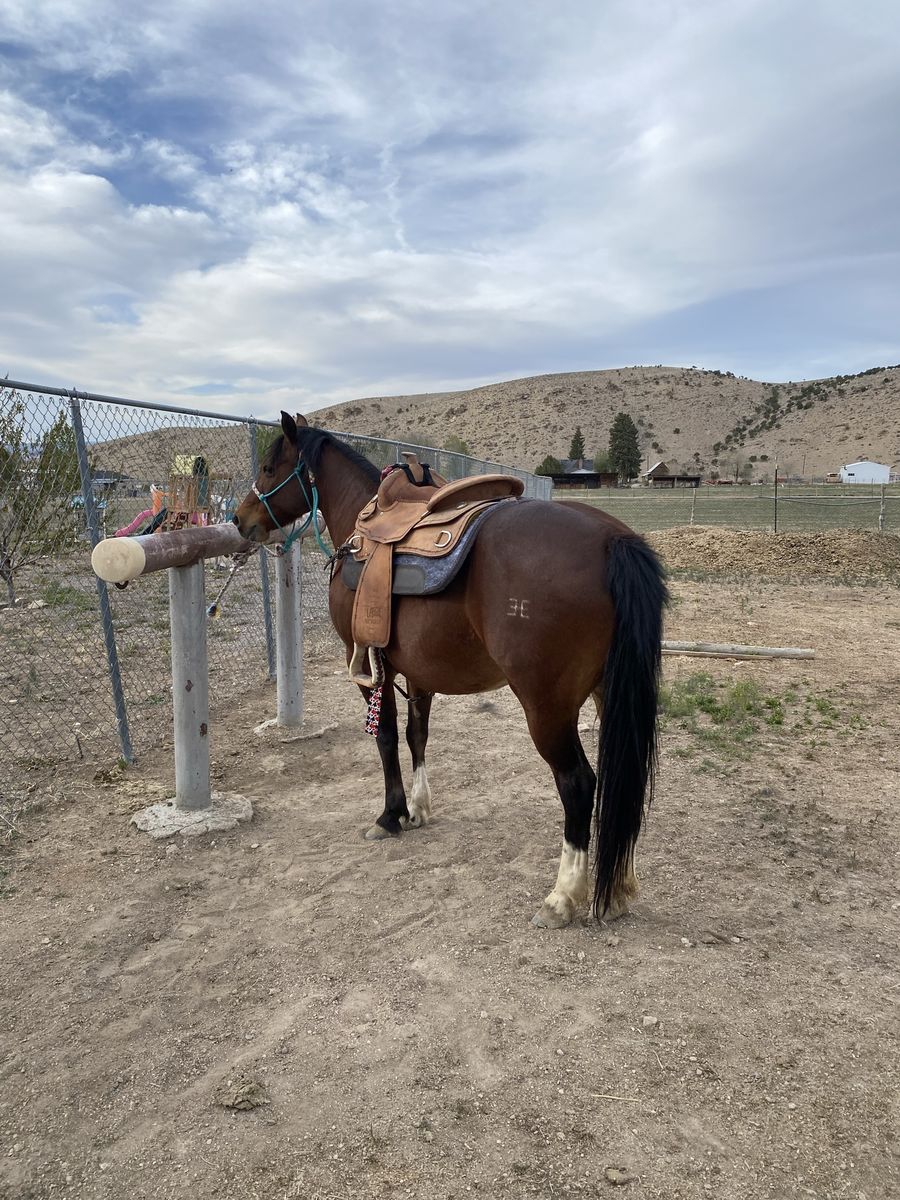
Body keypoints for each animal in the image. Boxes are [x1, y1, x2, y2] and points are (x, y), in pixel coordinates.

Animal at [234, 413, 668, 928]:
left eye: (267, 467)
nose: (239, 519)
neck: (362, 526)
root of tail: (612, 541)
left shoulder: (368, 665)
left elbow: (385, 736)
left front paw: (391, 815)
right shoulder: (417, 670)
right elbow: (416, 735)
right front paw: (419, 808)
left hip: (547, 707)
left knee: (579, 784)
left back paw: (563, 896)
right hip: (610, 695)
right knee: (623, 780)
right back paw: (619, 887)